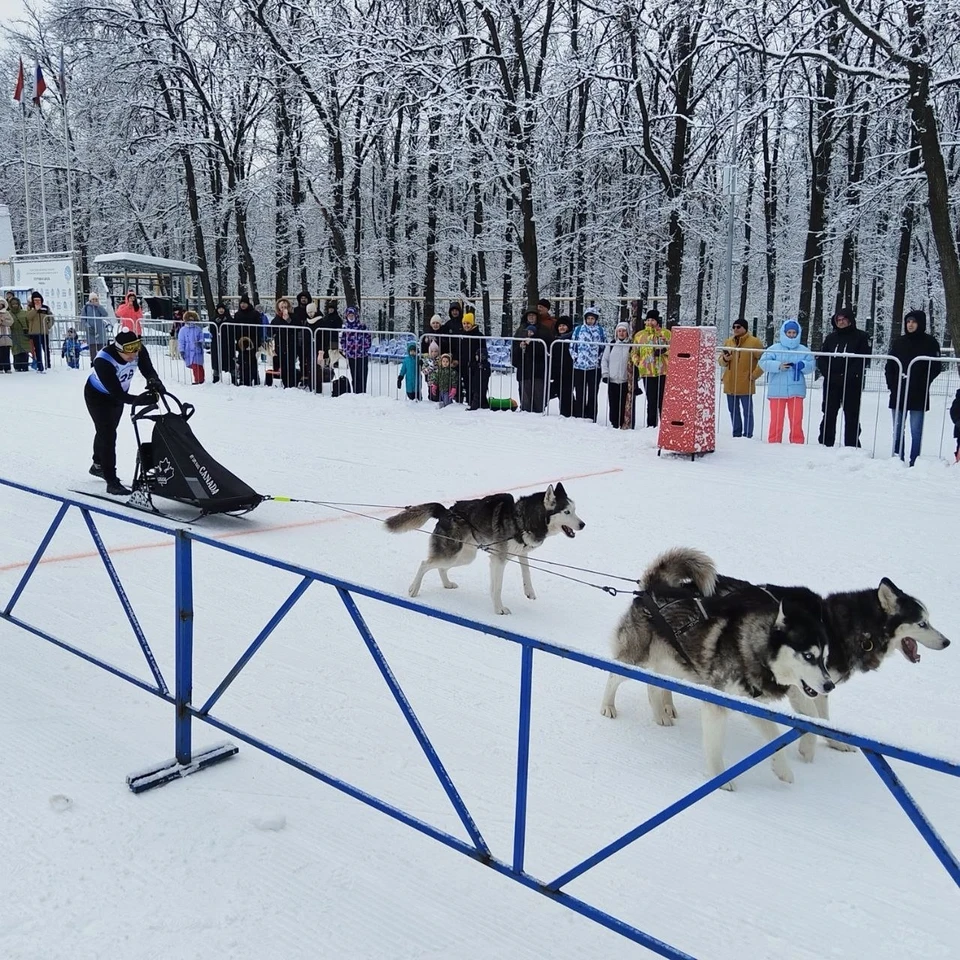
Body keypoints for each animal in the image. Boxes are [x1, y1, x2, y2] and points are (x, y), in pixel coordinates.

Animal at [384, 480, 584, 616]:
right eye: (567, 512)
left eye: (575, 510)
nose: (583, 525)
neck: (523, 519)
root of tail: (447, 511)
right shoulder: (499, 559)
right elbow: (498, 588)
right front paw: (499, 609)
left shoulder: (516, 553)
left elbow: (525, 571)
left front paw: (529, 591)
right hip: (452, 554)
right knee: (425, 564)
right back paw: (414, 589)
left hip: (464, 556)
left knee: (440, 567)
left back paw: (447, 584)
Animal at [600, 548, 832, 788]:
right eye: (808, 656)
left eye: (825, 658)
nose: (829, 685)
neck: (750, 649)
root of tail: (653, 588)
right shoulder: (717, 704)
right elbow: (715, 746)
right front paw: (720, 779)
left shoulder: (748, 702)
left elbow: (774, 735)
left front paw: (783, 770)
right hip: (637, 659)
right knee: (614, 675)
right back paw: (608, 706)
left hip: (674, 663)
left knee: (654, 685)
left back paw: (660, 715)